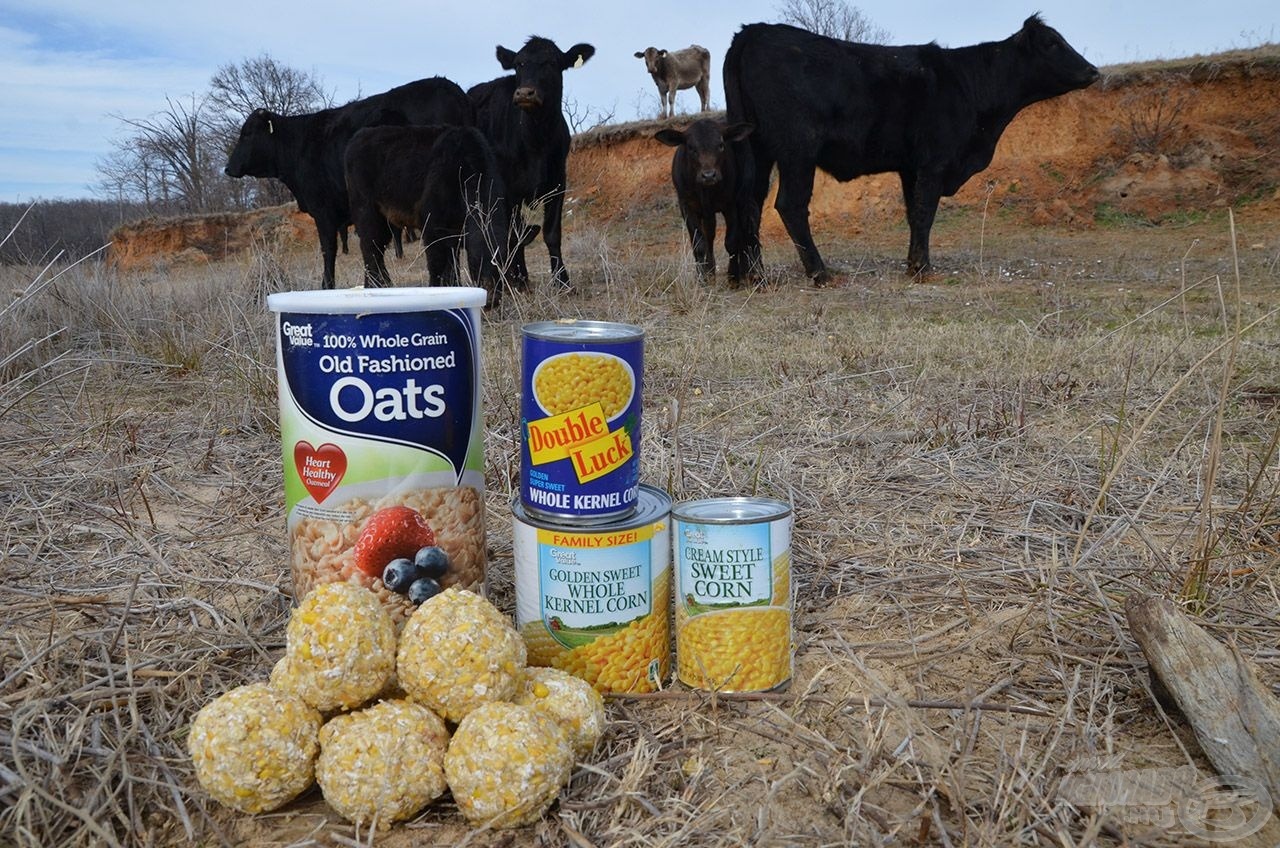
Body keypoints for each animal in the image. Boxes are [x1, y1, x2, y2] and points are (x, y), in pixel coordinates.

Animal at [226, 77, 476, 289]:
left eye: (247, 134)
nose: (228, 168)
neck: (299, 145)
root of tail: (449, 87)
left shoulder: (323, 210)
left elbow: (330, 249)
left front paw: (328, 285)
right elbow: (373, 246)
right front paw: (378, 283)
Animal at [350, 126, 514, 308]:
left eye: (503, 263)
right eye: (475, 260)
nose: (492, 299)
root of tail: (361, 134)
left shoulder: (453, 233)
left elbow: (452, 266)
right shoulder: (432, 228)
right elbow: (438, 265)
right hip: (367, 212)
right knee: (370, 249)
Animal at [465, 35, 593, 292]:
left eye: (552, 63)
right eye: (519, 64)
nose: (525, 93)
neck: (536, 140)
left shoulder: (558, 183)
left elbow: (552, 233)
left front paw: (562, 281)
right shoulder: (508, 189)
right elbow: (515, 234)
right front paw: (519, 279)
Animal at [660, 119, 757, 286]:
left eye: (721, 145)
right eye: (691, 148)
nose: (709, 175)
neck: (706, 190)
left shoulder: (731, 204)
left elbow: (731, 241)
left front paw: (733, 276)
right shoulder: (686, 206)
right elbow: (699, 244)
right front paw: (703, 277)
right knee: (707, 238)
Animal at [727, 15, 1095, 281]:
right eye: (1052, 43)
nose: (1092, 71)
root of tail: (755, 31)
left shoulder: (910, 167)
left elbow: (912, 213)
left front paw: (912, 263)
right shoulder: (935, 161)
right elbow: (925, 212)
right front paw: (922, 269)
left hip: (757, 151)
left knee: (749, 203)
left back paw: (751, 276)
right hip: (797, 150)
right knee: (789, 205)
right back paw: (819, 272)